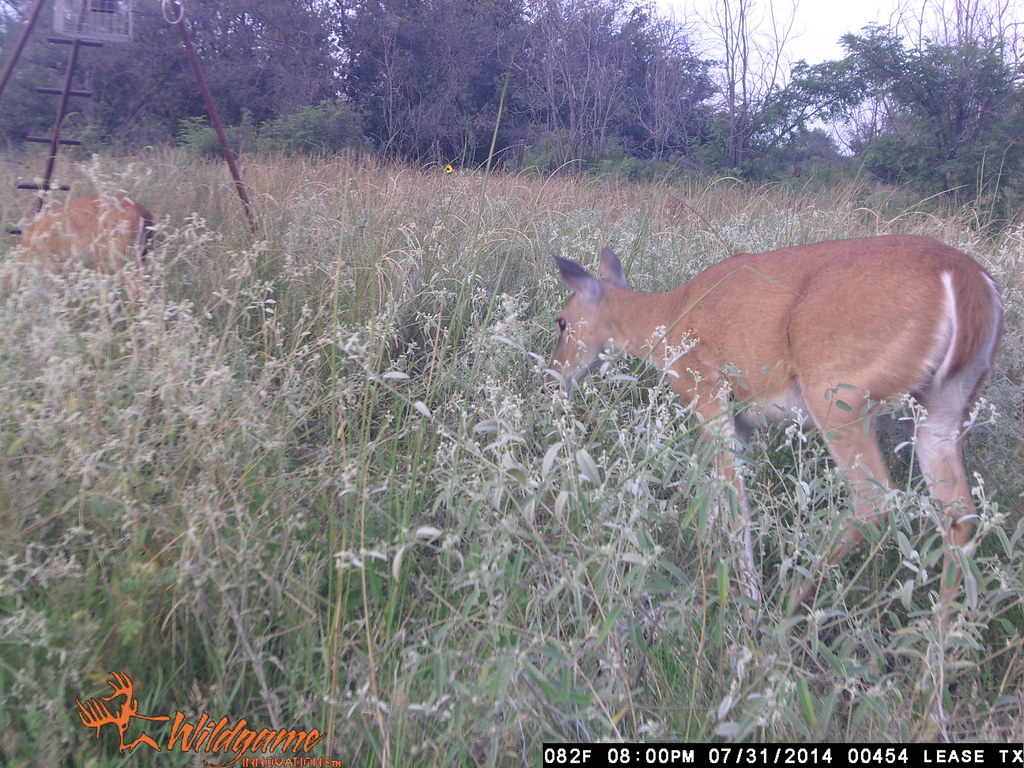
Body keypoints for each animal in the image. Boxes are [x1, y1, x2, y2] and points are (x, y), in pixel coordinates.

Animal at [547, 236, 1003, 624]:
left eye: (562, 321)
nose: (553, 379)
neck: (668, 317)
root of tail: (967, 281)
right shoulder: (743, 421)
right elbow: (716, 495)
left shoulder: (706, 391)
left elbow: (735, 503)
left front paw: (744, 602)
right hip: (944, 408)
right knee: (960, 514)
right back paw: (935, 649)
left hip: (839, 393)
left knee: (874, 500)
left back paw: (785, 608)